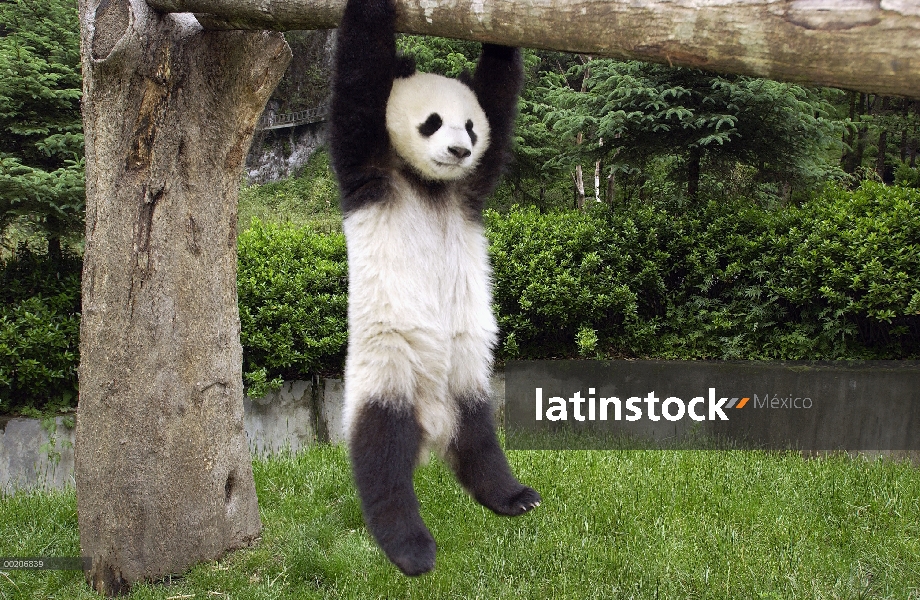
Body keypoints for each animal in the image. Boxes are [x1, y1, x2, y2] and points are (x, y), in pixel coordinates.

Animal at [328, 0, 540, 576]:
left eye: (469, 124)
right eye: (432, 123)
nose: (460, 149)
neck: (428, 182)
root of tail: (433, 430)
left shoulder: (473, 184)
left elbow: (499, 92)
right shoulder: (369, 167)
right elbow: (357, 82)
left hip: (470, 380)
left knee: (481, 444)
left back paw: (513, 497)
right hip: (387, 370)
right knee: (382, 461)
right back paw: (411, 549)